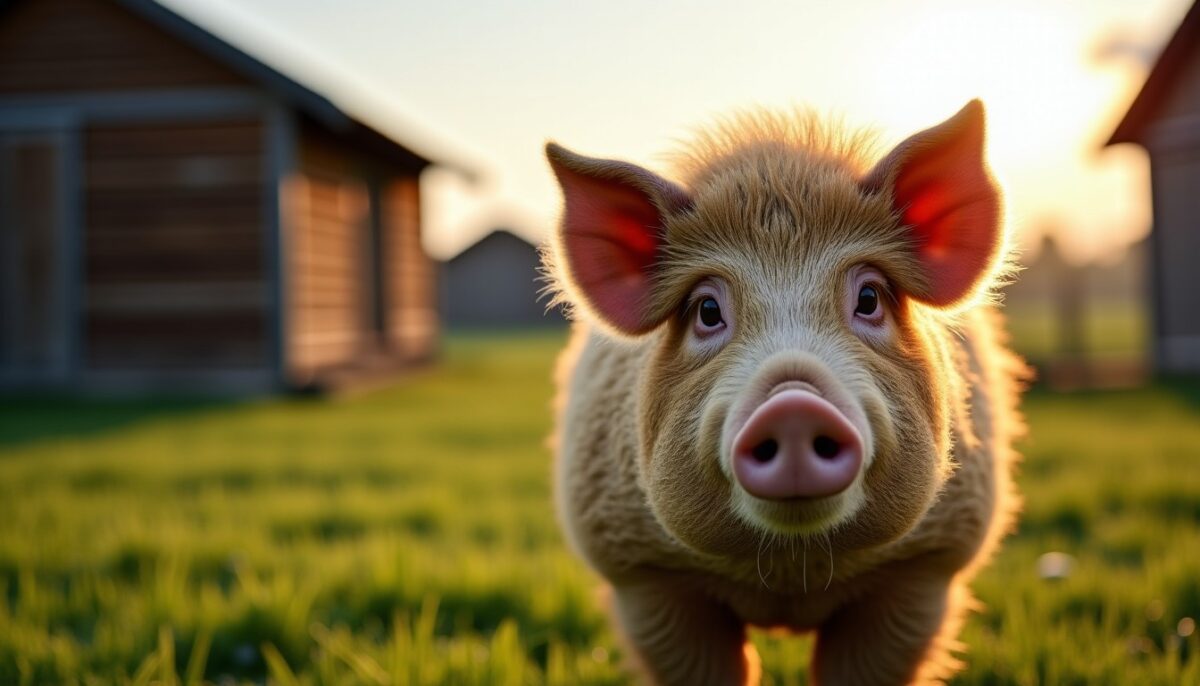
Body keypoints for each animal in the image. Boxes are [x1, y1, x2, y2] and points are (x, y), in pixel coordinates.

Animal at [543, 100, 1026, 686]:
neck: (790, 575)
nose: (794, 404)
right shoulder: (643, 576)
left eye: (870, 298)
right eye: (707, 310)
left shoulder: (924, 570)